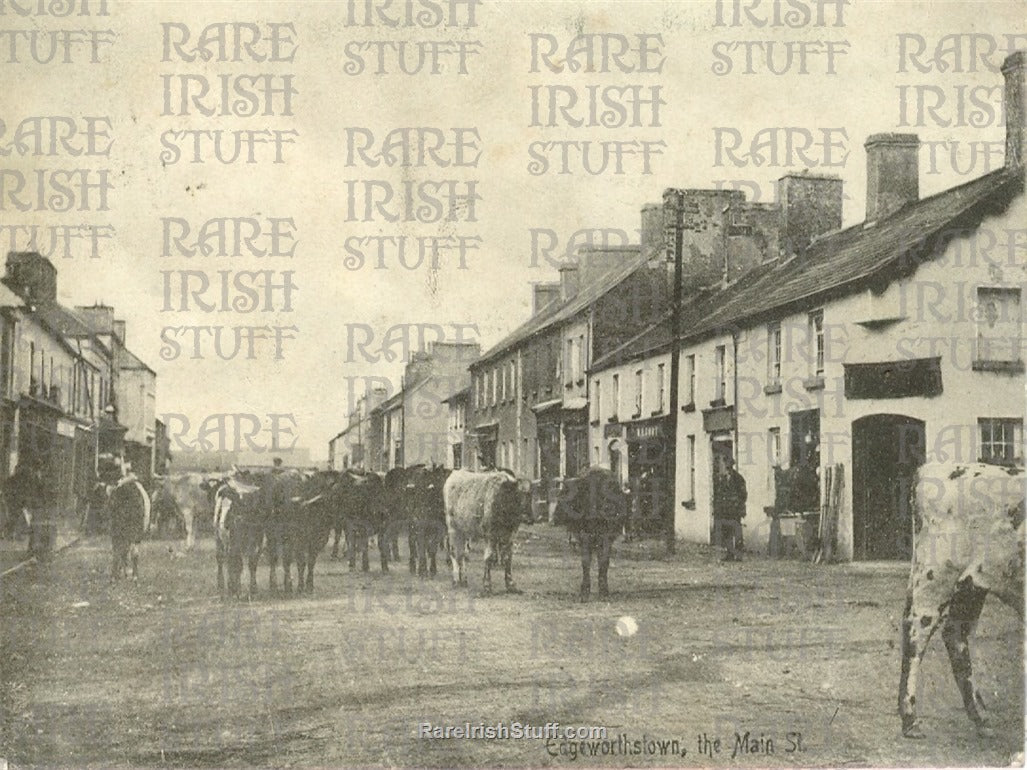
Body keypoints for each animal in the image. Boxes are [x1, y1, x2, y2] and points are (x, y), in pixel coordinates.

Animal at [558, 470, 628, 603]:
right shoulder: (584, 538)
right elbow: (586, 563)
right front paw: (585, 592)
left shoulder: (606, 538)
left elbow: (604, 562)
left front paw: (604, 592)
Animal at [895, 464, 1022, 743]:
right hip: (937, 574)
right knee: (917, 631)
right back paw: (910, 719)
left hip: (973, 583)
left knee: (954, 633)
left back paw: (980, 717)